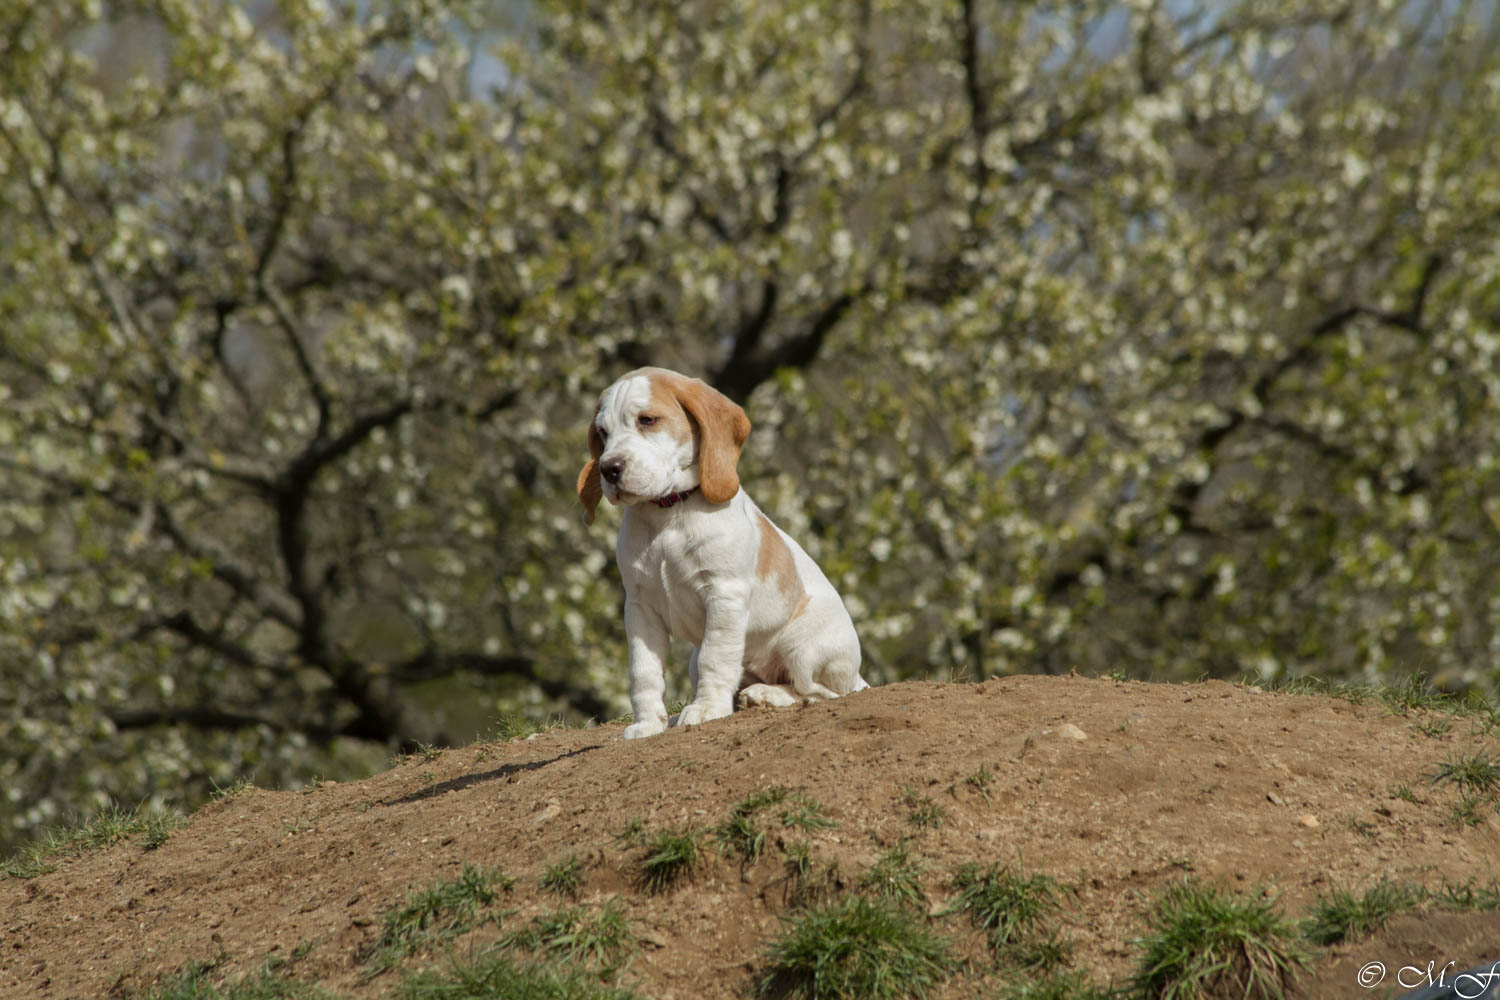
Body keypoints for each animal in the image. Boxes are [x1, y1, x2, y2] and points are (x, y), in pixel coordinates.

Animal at [576, 371, 870, 740]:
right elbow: (644, 671)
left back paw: (766, 695)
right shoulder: (640, 607)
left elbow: (715, 659)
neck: (668, 514)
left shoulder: (723, 594)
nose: (609, 468)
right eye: (603, 433)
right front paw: (648, 724)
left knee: (819, 692)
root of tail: (858, 677)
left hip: (803, 649)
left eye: (648, 420)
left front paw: (705, 711)